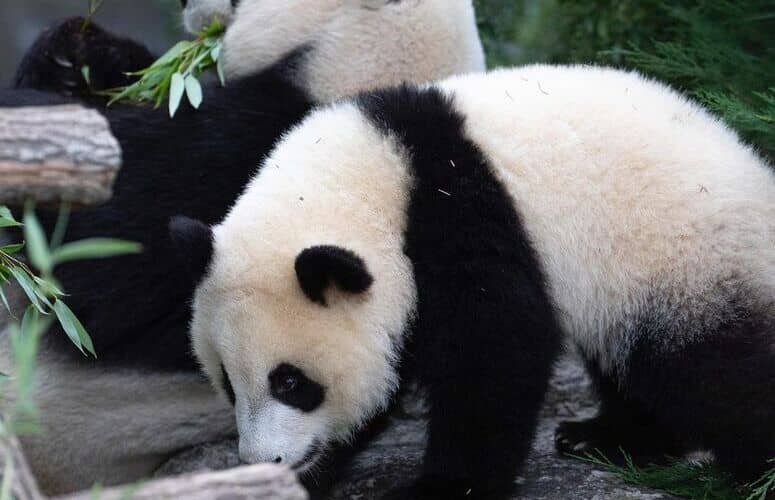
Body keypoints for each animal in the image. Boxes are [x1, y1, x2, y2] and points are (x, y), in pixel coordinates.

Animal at [174, 64, 775, 498]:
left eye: (290, 383)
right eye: (227, 382)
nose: (264, 459)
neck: (369, 179)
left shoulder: (458, 219)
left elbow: (495, 353)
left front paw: (440, 488)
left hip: (683, 257)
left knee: (711, 369)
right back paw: (608, 437)